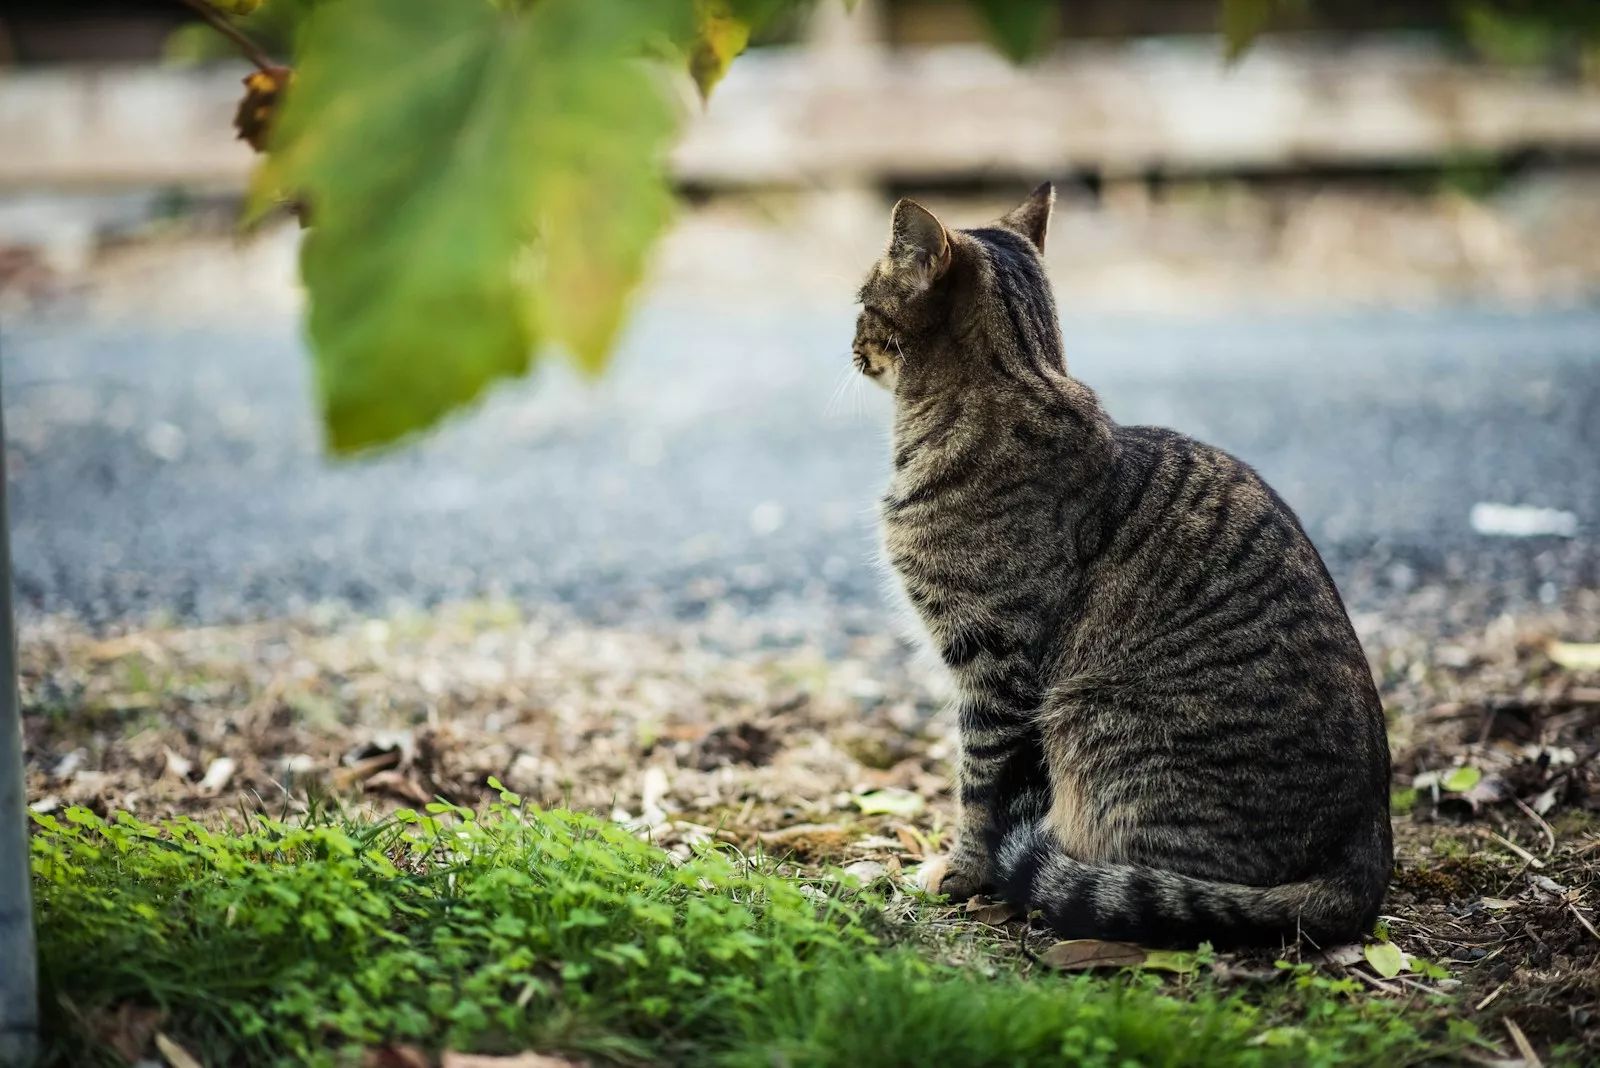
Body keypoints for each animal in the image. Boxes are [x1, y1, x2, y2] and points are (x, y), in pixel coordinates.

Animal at [851, 187, 1388, 946]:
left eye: (861, 301)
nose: (849, 345)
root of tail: (1368, 857)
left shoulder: (995, 668)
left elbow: (980, 789)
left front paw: (960, 875)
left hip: (1090, 720)